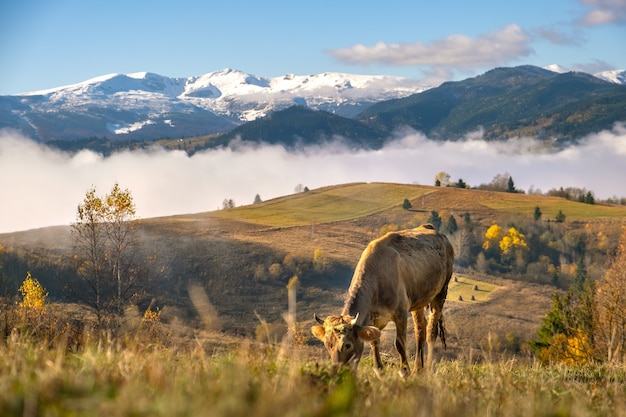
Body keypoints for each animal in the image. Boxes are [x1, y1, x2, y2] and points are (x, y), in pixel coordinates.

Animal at [310, 224, 450, 374]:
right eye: (327, 345)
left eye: (347, 345)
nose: (338, 371)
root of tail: (430, 228)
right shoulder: (374, 319)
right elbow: (374, 341)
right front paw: (379, 369)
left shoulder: (400, 313)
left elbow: (400, 343)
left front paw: (404, 371)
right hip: (417, 301)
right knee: (420, 329)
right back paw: (418, 369)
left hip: (441, 293)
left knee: (431, 330)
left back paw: (428, 367)